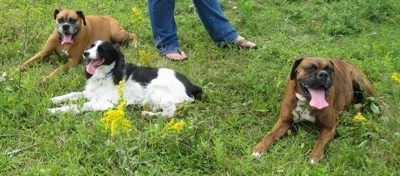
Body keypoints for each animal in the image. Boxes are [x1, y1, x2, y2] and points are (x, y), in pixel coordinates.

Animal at [48, 40, 202, 117]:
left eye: (101, 49)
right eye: (91, 47)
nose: (85, 53)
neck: (107, 74)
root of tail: (191, 86)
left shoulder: (105, 102)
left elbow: (79, 106)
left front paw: (55, 110)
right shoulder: (91, 93)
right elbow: (73, 94)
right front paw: (54, 99)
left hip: (156, 91)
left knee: (170, 112)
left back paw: (148, 114)